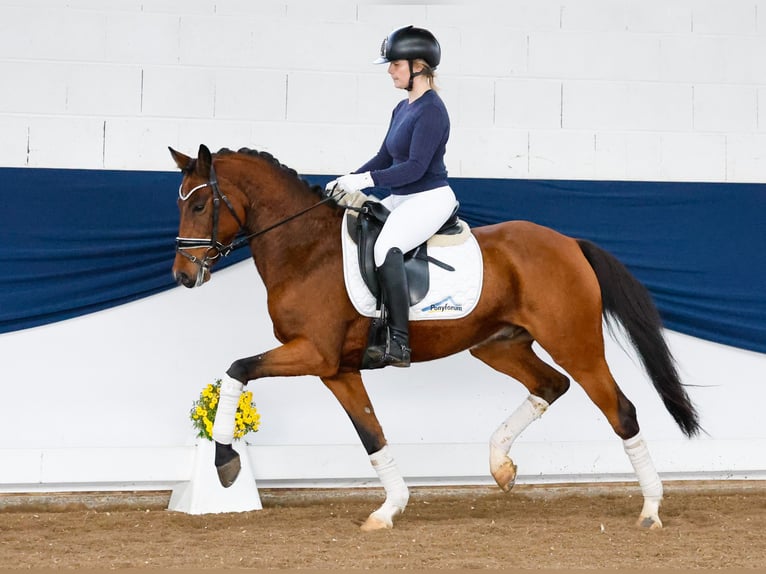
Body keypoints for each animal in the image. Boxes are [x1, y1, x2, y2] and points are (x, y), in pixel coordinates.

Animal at [168, 146, 704, 532]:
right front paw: (389, 509)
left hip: (575, 344)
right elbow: (372, 434)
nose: (182, 276)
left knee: (621, 411)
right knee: (550, 385)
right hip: (498, 344)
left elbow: (237, 368)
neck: (306, 250)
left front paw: (225, 461)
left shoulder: (312, 354)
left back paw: (651, 510)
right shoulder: (337, 369)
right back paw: (500, 466)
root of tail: (569, 243)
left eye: (200, 203)